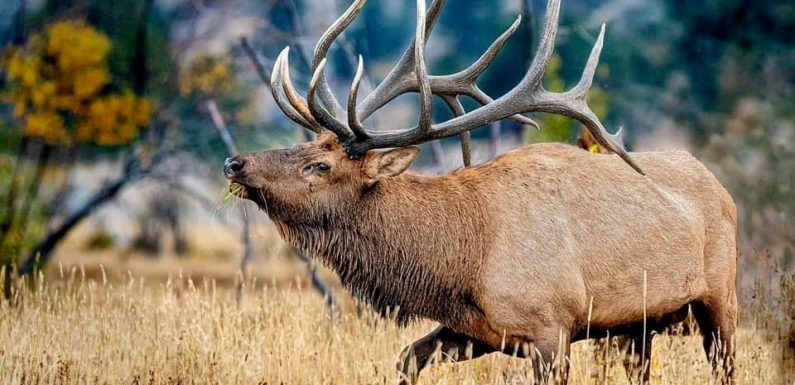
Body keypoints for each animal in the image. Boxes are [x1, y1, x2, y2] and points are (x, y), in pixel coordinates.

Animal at [227, 0, 736, 380]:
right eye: (309, 144)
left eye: (320, 164)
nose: (236, 162)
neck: (463, 262)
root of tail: (721, 187)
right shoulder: (473, 331)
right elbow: (406, 358)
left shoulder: (553, 327)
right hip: (639, 326)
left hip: (719, 296)